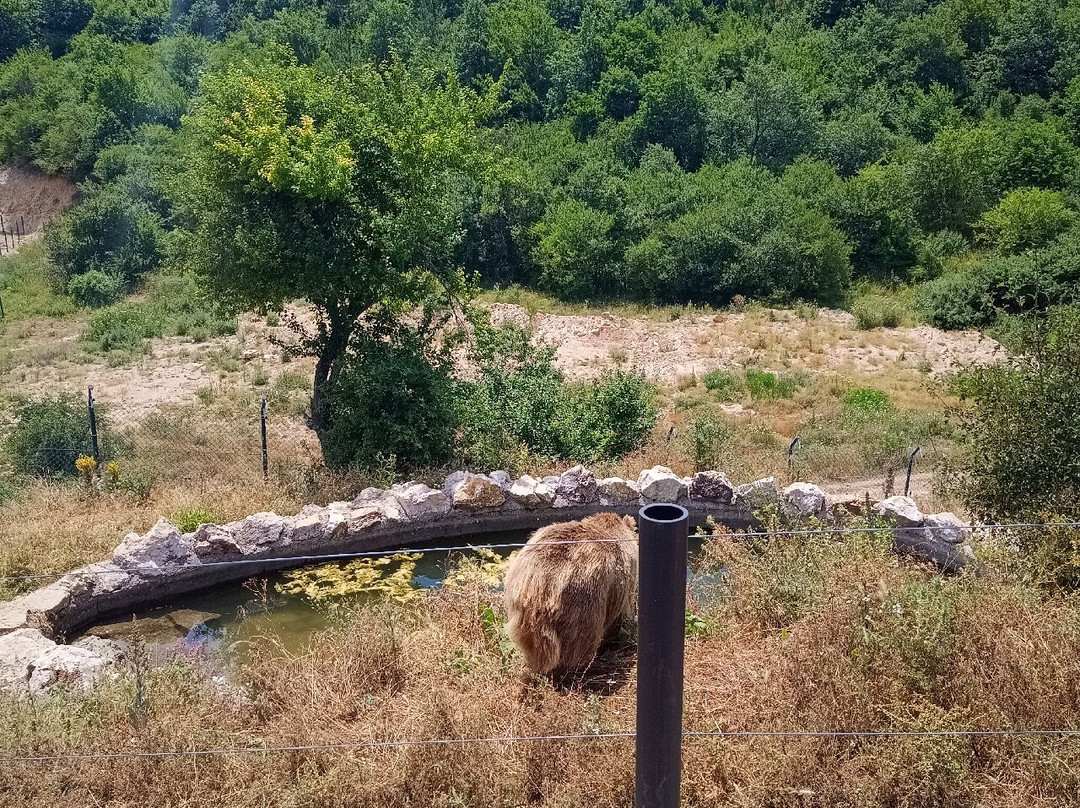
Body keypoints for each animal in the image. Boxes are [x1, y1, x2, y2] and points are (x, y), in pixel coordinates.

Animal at [503, 512, 638, 677]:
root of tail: (540, 584)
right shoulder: (622, 581)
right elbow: (622, 613)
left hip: (519, 603)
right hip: (582, 600)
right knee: (581, 640)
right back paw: (575, 668)